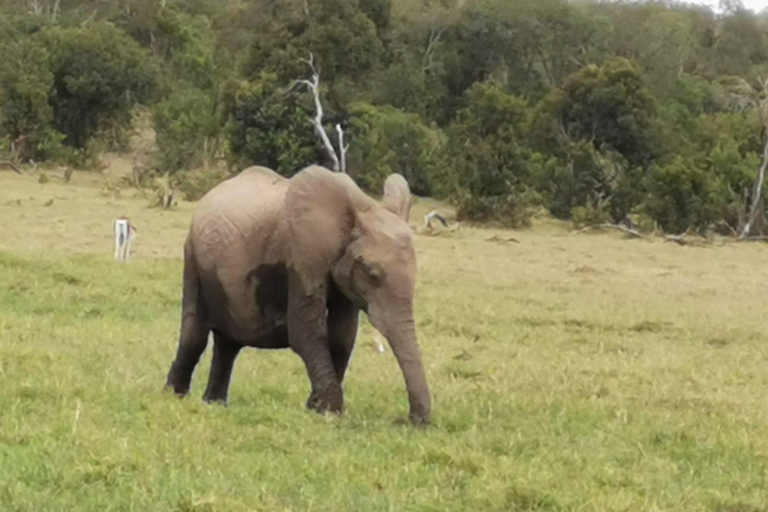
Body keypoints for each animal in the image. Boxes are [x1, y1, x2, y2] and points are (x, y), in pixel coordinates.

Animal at [165, 165, 432, 424]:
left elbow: (343, 336)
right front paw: (331, 412)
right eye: (373, 275)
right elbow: (306, 330)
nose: (410, 421)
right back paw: (174, 396)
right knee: (195, 334)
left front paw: (316, 408)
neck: (357, 209)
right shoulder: (303, 255)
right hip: (193, 256)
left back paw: (215, 403)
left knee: (228, 343)